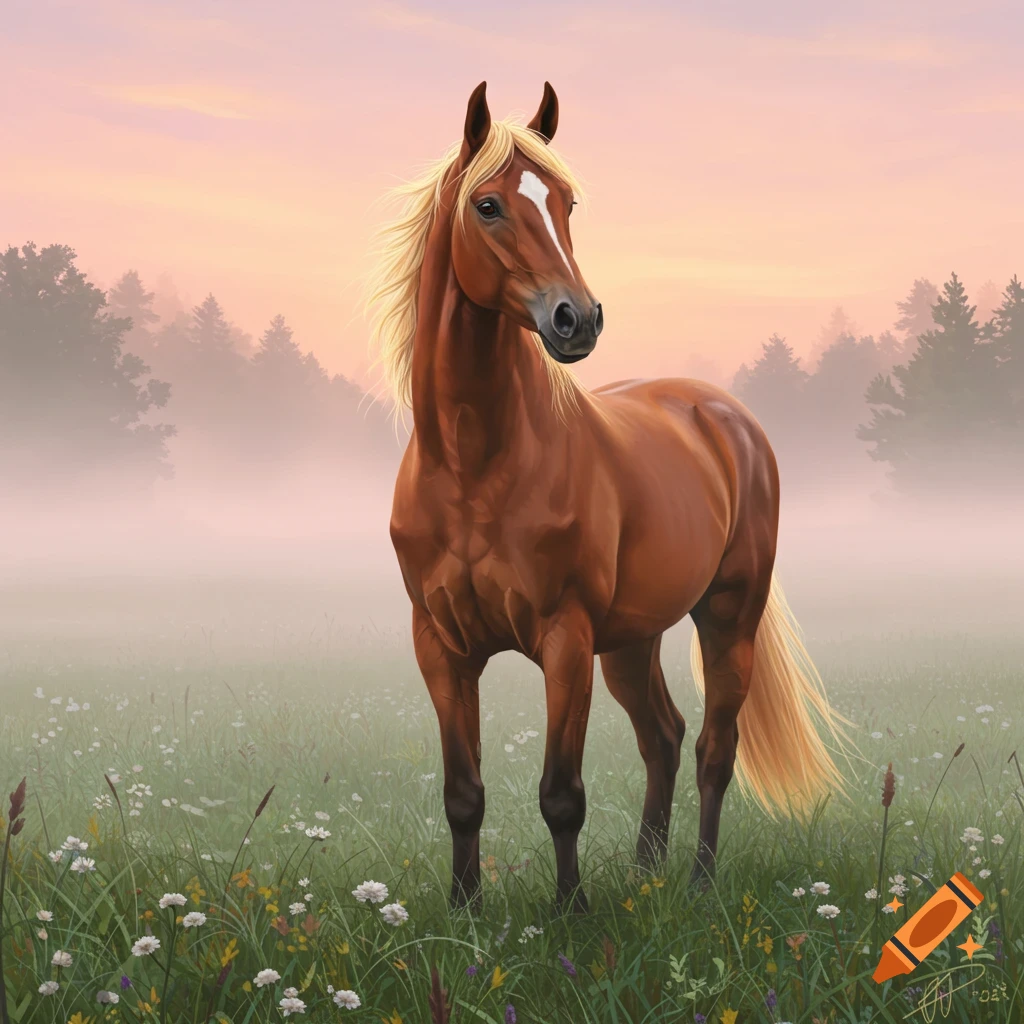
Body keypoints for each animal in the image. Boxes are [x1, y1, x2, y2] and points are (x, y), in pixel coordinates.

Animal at [367, 81, 848, 913]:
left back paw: (697, 882)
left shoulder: (566, 640)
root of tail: (725, 415)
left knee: (714, 747)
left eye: (565, 203)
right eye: (488, 205)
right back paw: (644, 873)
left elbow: (563, 793)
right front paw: (464, 910)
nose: (577, 319)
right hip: (630, 639)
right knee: (663, 735)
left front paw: (570, 912)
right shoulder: (442, 646)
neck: (472, 467)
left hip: (727, 617)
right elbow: (464, 793)